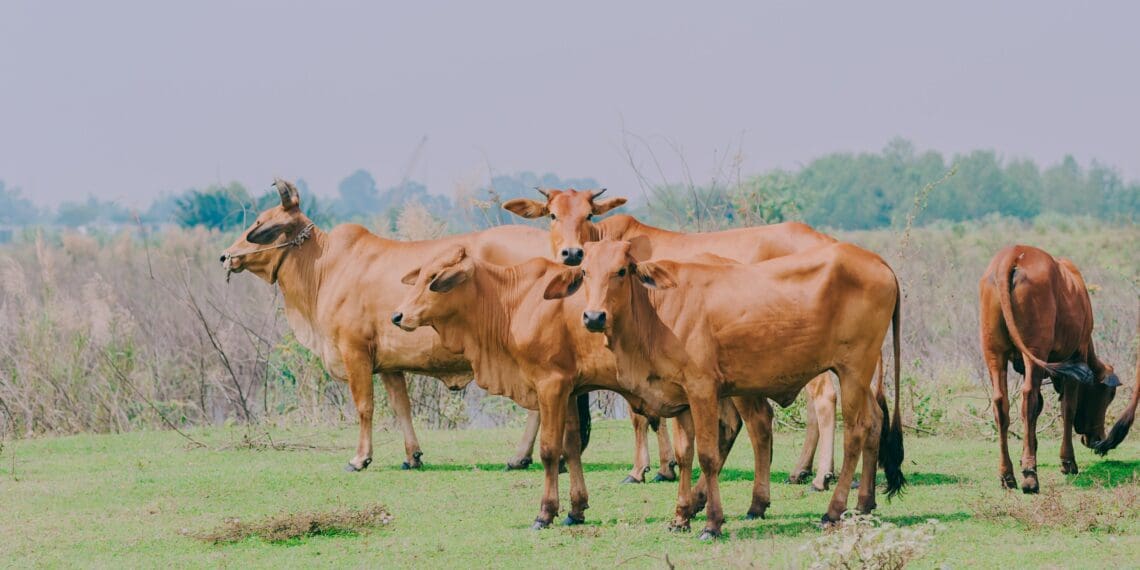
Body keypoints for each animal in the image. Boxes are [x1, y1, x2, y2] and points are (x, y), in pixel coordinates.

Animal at [220, 178, 559, 472]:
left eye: (260, 223)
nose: (225, 256)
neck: (325, 267)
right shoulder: (389, 364)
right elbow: (401, 407)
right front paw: (412, 456)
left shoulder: (354, 351)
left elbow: (364, 406)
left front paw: (360, 459)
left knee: (538, 406)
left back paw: (522, 456)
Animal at [390, 247, 770, 529]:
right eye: (420, 275)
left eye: (434, 280)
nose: (397, 316)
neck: (513, 300)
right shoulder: (572, 390)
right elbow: (571, 447)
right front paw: (575, 509)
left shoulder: (551, 384)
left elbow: (548, 450)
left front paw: (545, 513)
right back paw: (716, 502)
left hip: (738, 384)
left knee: (755, 427)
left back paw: (747, 504)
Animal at [504, 188, 843, 491]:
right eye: (553, 214)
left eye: (588, 214)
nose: (572, 253)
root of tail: (829, 241)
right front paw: (665, 468)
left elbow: (640, 416)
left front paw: (641, 470)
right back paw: (803, 471)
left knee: (825, 400)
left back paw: (820, 476)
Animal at [551, 240, 905, 539]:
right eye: (585, 272)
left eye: (622, 271)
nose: (594, 317)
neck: (657, 311)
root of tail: (877, 261)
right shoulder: (680, 398)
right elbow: (684, 454)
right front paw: (680, 516)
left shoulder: (702, 390)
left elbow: (707, 456)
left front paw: (711, 523)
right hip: (859, 375)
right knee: (874, 422)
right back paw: (864, 503)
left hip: (853, 370)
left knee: (856, 433)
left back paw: (833, 511)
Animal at [979, 245, 1123, 493]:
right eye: (1108, 395)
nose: (1097, 439)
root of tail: (1013, 254)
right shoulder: (1076, 356)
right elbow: (1068, 409)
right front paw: (1068, 462)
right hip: (1035, 350)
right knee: (1028, 399)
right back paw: (1030, 476)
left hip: (994, 353)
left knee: (1001, 403)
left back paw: (1007, 474)